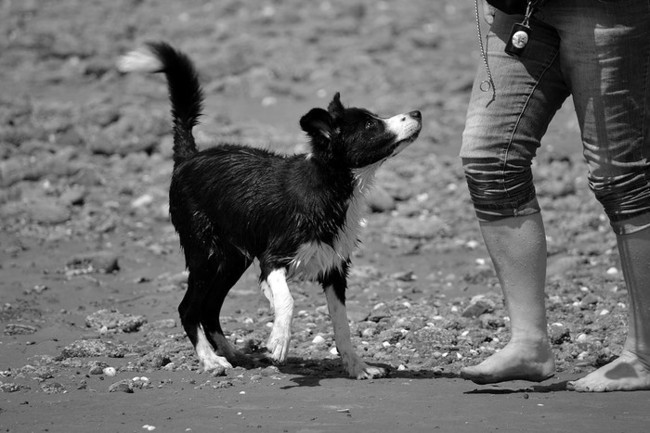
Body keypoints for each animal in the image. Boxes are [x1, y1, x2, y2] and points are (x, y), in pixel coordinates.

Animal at [118, 42, 422, 379]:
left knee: (209, 309)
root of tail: (189, 157)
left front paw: (358, 367)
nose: (417, 112)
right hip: (206, 253)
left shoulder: (335, 269)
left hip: (230, 260)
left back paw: (231, 352)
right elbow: (286, 300)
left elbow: (342, 326)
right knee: (189, 308)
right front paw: (279, 340)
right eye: (370, 124)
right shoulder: (273, 257)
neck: (329, 189)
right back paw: (210, 359)